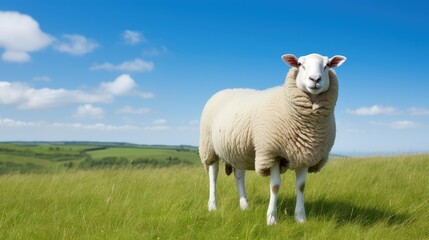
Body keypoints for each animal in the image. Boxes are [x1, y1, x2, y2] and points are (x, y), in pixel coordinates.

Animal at [200, 53, 344, 225]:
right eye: (300, 64)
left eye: (327, 65)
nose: (315, 79)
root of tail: (225, 90)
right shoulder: (272, 152)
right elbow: (275, 186)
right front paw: (271, 219)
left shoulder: (305, 154)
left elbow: (301, 186)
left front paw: (301, 218)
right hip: (209, 147)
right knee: (213, 176)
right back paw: (212, 205)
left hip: (238, 149)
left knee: (239, 176)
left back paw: (244, 205)